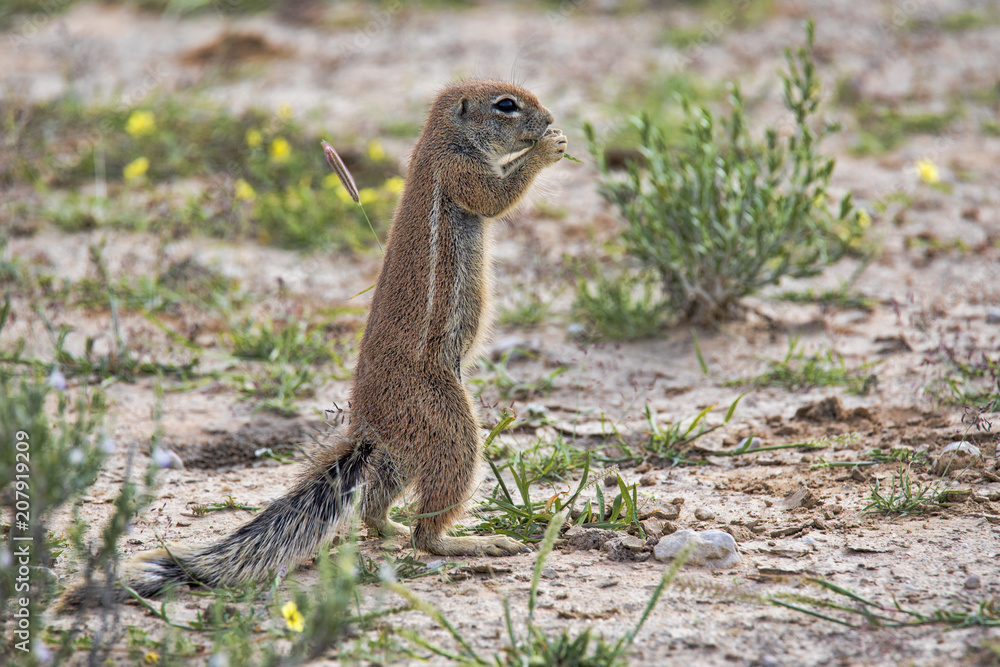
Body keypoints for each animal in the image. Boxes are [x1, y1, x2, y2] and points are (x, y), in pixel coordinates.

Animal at [67, 79, 566, 603]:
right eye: (506, 105)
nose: (550, 117)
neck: (441, 140)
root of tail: (366, 424)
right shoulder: (459, 172)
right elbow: (495, 197)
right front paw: (548, 148)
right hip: (449, 425)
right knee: (427, 528)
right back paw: (472, 542)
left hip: (405, 448)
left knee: (372, 506)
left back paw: (393, 529)